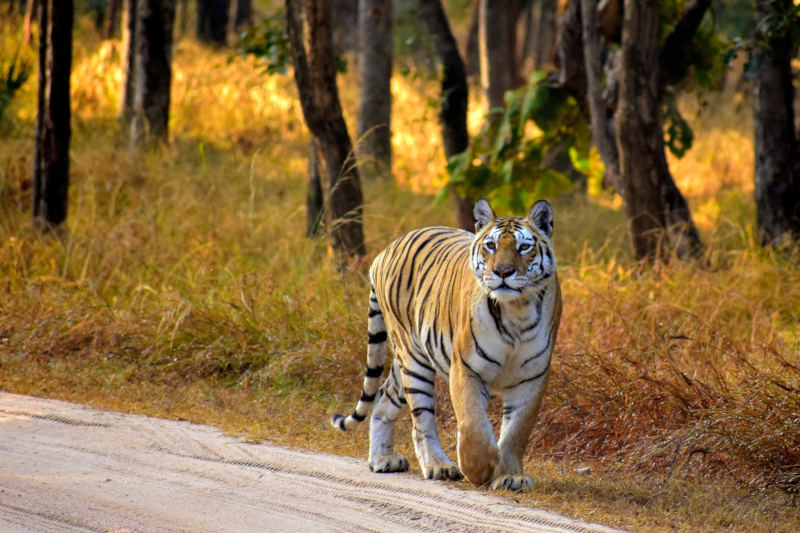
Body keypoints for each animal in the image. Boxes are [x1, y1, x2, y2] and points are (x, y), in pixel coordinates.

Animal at [332, 197, 564, 488]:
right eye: (491, 246)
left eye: (524, 247)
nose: (503, 272)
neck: (516, 311)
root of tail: (384, 252)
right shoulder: (466, 367)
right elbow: (473, 422)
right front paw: (480, 468)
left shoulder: (532, 377)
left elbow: (516, 432)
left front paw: (511, 476)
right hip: (413, 360)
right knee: (421, 421)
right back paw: (438, 465)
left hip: (404, 363)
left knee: (384, 397)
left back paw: (382, 459)